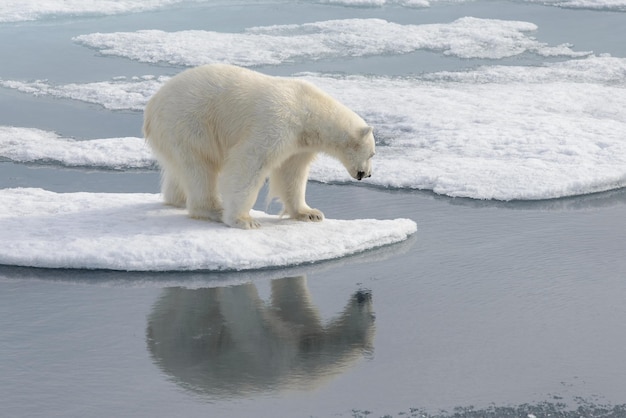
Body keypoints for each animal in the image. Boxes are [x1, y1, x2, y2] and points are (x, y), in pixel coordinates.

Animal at [144, 63, 372, 230]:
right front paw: (244, 220)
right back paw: (214, 209)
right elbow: (249, 163)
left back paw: (176, 200)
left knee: (179, 171)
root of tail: (152, 105)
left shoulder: (299, 144)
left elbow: (292, 174)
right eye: (372, 154)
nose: (367, 174)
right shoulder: (277, 123)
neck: (309, 110)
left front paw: (310, 213)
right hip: (190, 123)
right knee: (200, 168)